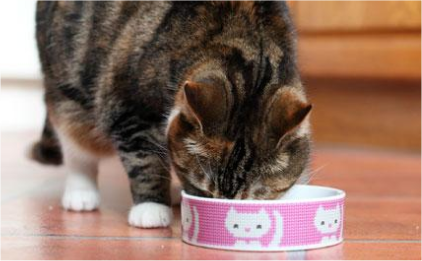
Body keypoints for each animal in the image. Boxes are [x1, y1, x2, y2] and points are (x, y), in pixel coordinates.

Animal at [32, 0, 310, 226]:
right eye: (203, 189)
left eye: (252, 196)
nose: (220, 210)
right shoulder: (129, 107)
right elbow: (144, 159)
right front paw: (151, 208)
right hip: (67, 90)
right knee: (76, 146)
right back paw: (81, 194)